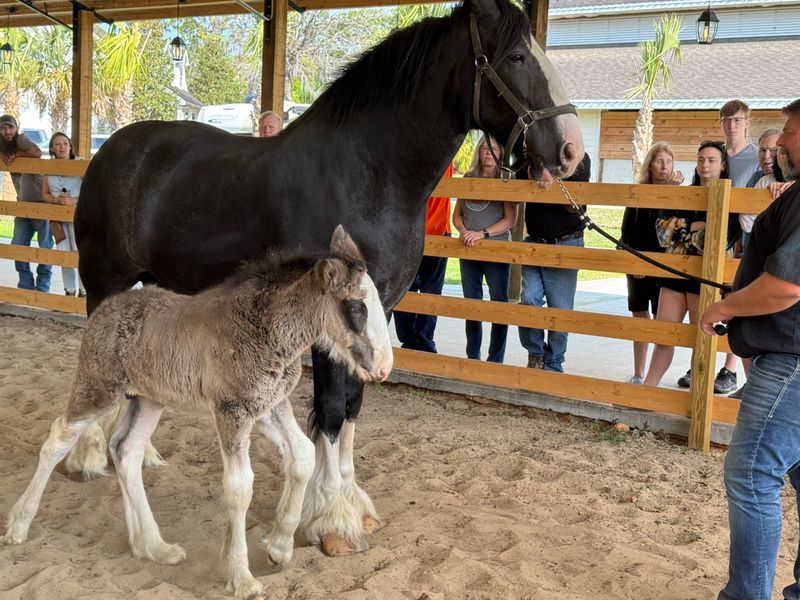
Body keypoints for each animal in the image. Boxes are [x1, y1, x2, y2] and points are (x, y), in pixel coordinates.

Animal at [2, 227, 392, 600]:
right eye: (357, 308)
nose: (383, 368)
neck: (265, 329)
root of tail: (107, 307)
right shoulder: (232, 411)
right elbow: (240, 487)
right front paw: (241, 578)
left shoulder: (269, 406)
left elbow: (303, 455)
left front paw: (280, 547)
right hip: (99, 387)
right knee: (58, 438)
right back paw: (18, 526)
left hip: (148, 400)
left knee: (126, 450)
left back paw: (153, 547)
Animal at [71, 0, 584, 556]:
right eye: (516, 56)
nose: (571, 150)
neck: (366, 176)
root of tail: (111, 150)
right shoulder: (326, 324)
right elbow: (333, 409)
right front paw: (332, 522)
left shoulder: (376, 316)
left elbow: (354, 406)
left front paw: (350, 507)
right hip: (104, 284)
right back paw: (87, 456)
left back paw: (143, 455)